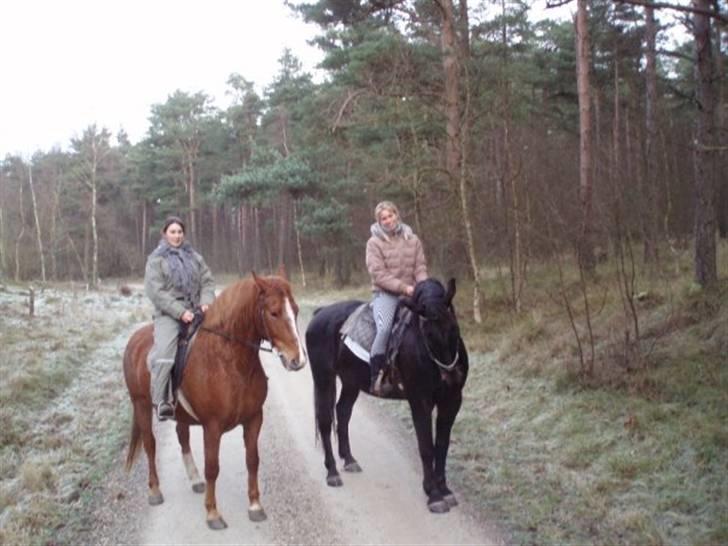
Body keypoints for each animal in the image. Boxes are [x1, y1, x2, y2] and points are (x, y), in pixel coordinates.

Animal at [123, 272, 306, 528]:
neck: (230, 362)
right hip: (141, 405)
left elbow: (252, 460)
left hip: (180, 414)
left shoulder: (254, 419)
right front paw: (212, 512)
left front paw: (255, 505)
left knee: (183, 438)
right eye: (273, 312)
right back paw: (155, 491)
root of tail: (134, 341)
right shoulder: (212, 427)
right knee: (150, 444)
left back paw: (194, 480)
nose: (297, 360)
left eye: (296, 310)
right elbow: (212, 467)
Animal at [306, 278, 466, 512]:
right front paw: (434, 495)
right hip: (324, 379)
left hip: (351, 382)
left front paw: (444, 490)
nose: (451, 377)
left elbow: (442, 445)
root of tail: (320, 313)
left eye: (454, 328)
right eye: (427, 333)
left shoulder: (451, 401)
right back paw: (332, 472)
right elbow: (426, 446)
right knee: (326, 422)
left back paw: (349, 460)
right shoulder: (420, 401)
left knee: (343, 413)